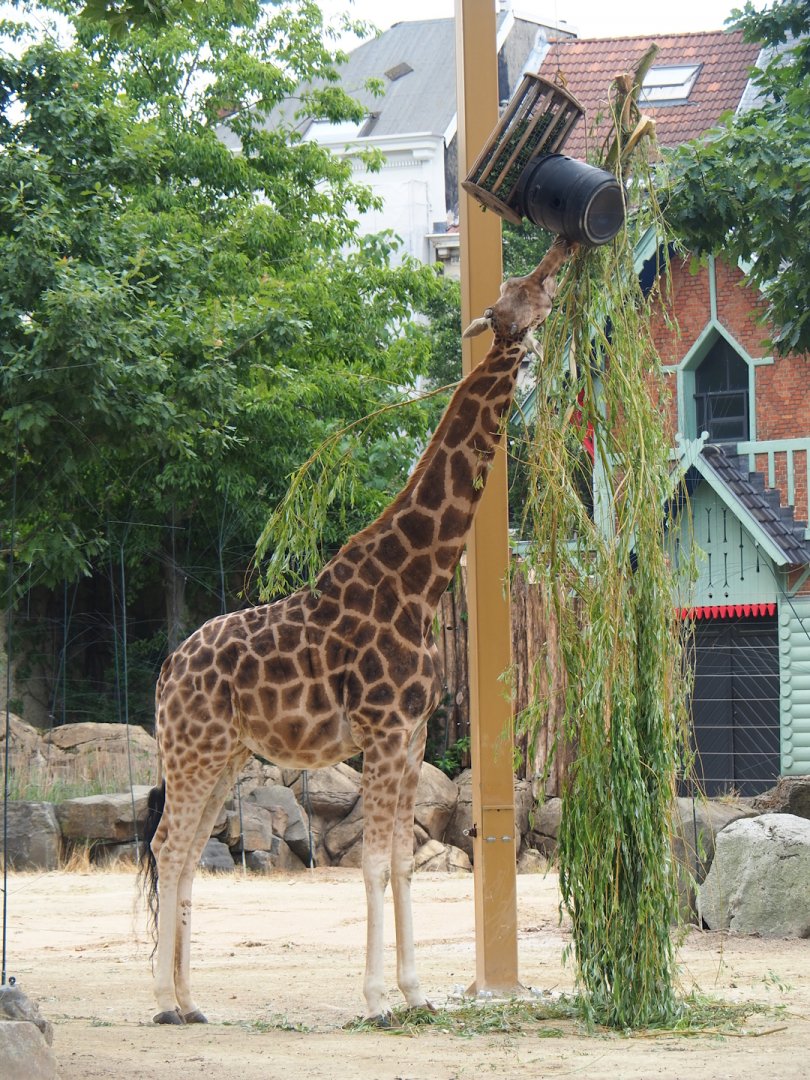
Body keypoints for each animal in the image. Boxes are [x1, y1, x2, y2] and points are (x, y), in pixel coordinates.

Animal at [140, 236, 576, 1025]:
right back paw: (163, 1000)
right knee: (166, 844)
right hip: (192, 750)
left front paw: (415, 992)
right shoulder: (382, 731)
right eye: (521, 290)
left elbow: (401, 860)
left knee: (185, 853)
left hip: (223, 755)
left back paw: (190, 1001)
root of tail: (166, 670)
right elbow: (372, 863)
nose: (557, 259)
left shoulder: (413, 735)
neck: (419, 582)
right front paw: (376, 998)